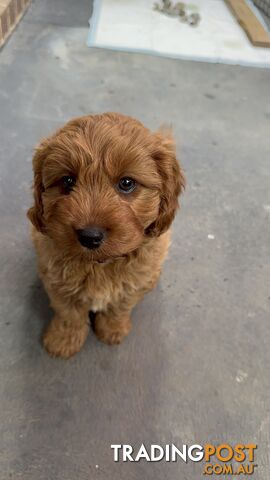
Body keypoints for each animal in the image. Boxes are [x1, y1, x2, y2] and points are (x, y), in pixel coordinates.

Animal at [28, 112, 186, 358]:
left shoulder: (131, 286)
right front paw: (63, 340)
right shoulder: (57, 282)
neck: (100, 264)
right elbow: (68, 314)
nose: (90, 236)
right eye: (67, 181)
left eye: (127, 183)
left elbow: (118, 309)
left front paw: (112, 330)